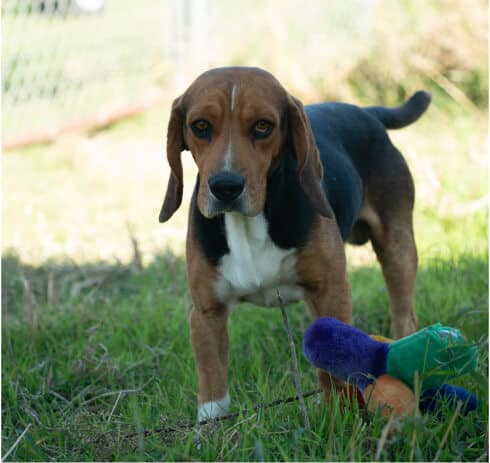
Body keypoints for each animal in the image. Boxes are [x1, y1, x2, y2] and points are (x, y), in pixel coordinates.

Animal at [159, 67, 430, 422]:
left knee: (403, 317)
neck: (248, 223)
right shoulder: (206, 312)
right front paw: (211, 429)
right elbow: (212, 384)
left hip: (397, 249)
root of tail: (368, 113)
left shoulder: (332, 292)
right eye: (200, 126)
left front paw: (338, 420)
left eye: (263, 125)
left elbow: (332, 368)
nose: (225, 187)